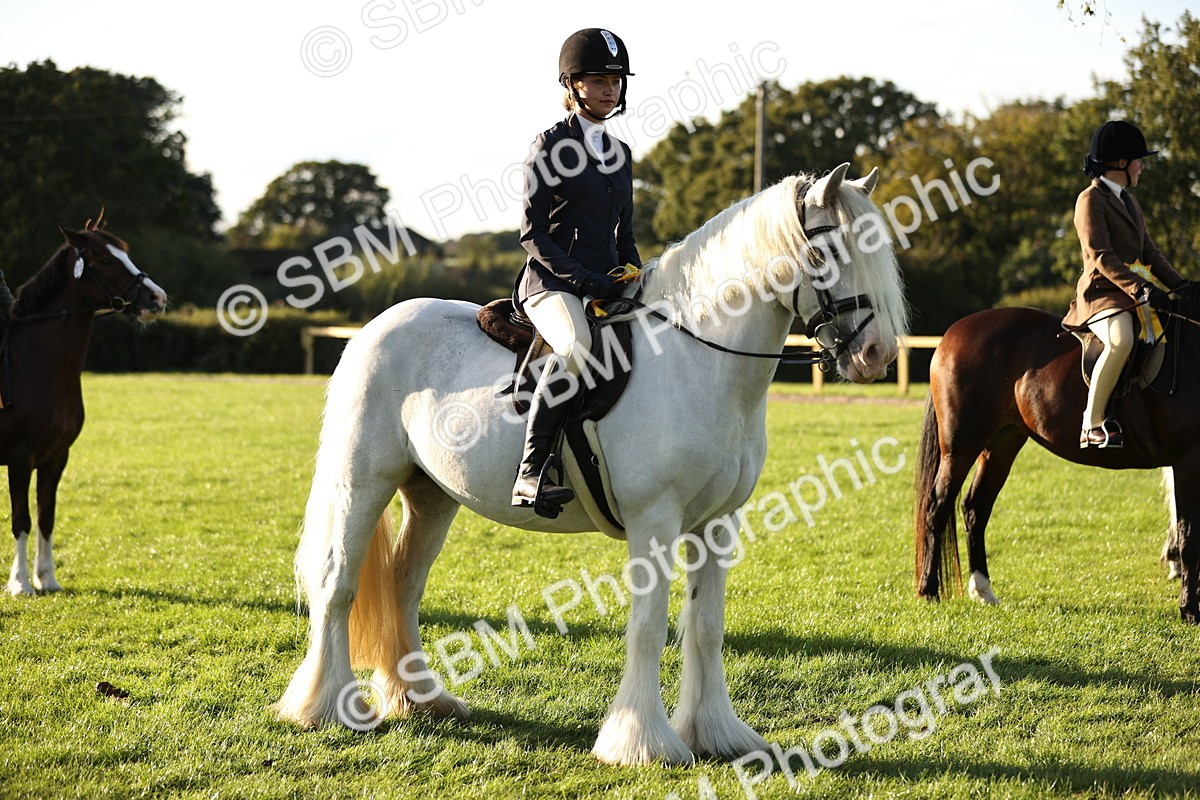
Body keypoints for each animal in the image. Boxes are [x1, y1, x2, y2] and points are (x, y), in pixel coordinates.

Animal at [5, 219, 167, 596]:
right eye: (105, 260)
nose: (157, 298)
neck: (36, 364)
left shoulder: (55, 457)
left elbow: (46, 515)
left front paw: (46, 578)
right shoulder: (20, 458)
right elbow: (22, 518)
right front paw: (21, 583)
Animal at [271, 163, 911, 765]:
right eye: (827, 253)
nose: (876, 354)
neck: (697, 358)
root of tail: (374, 328)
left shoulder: (717, 524)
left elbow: (705, 627)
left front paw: (716, 734)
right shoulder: (656, 521)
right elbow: (649, 628)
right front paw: (642, 742)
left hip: (431, 495)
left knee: (403, 585)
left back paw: (420, 699)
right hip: (362, 483)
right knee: (337, 582)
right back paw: (324, 707)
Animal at [912, 297, 1200, 624]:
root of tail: (953, 333)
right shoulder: (1187, 459)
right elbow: (1189, 535)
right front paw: (1190, 608)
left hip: (1002, 444)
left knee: (975, 508)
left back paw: (983, 590)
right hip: (960, 446)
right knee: (937, 507)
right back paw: (929, 590)